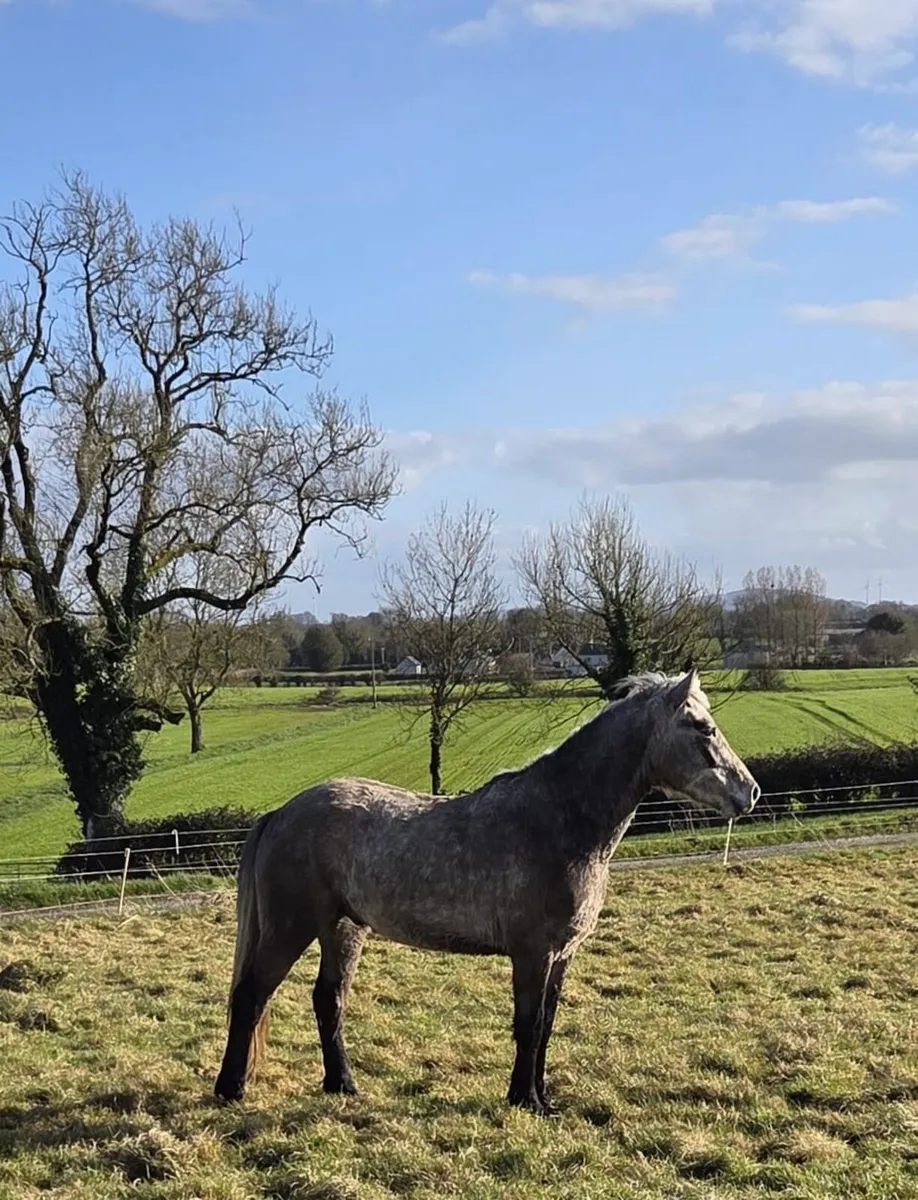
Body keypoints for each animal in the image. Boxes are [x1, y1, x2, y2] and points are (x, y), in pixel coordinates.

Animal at [214, 669, 759, 1114]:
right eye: (703, 728)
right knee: (251, 995)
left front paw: (543, 1098)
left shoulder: (561, 955)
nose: (749, 792)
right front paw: (525, 1101)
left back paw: (342, 1085)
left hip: (344, 930)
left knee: (328, 1001)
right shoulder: (533, 954)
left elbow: (546, 1026)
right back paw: (231, 1090)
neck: (558, 820)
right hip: (290, 928)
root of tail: (282, 813)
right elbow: (528, 1025)